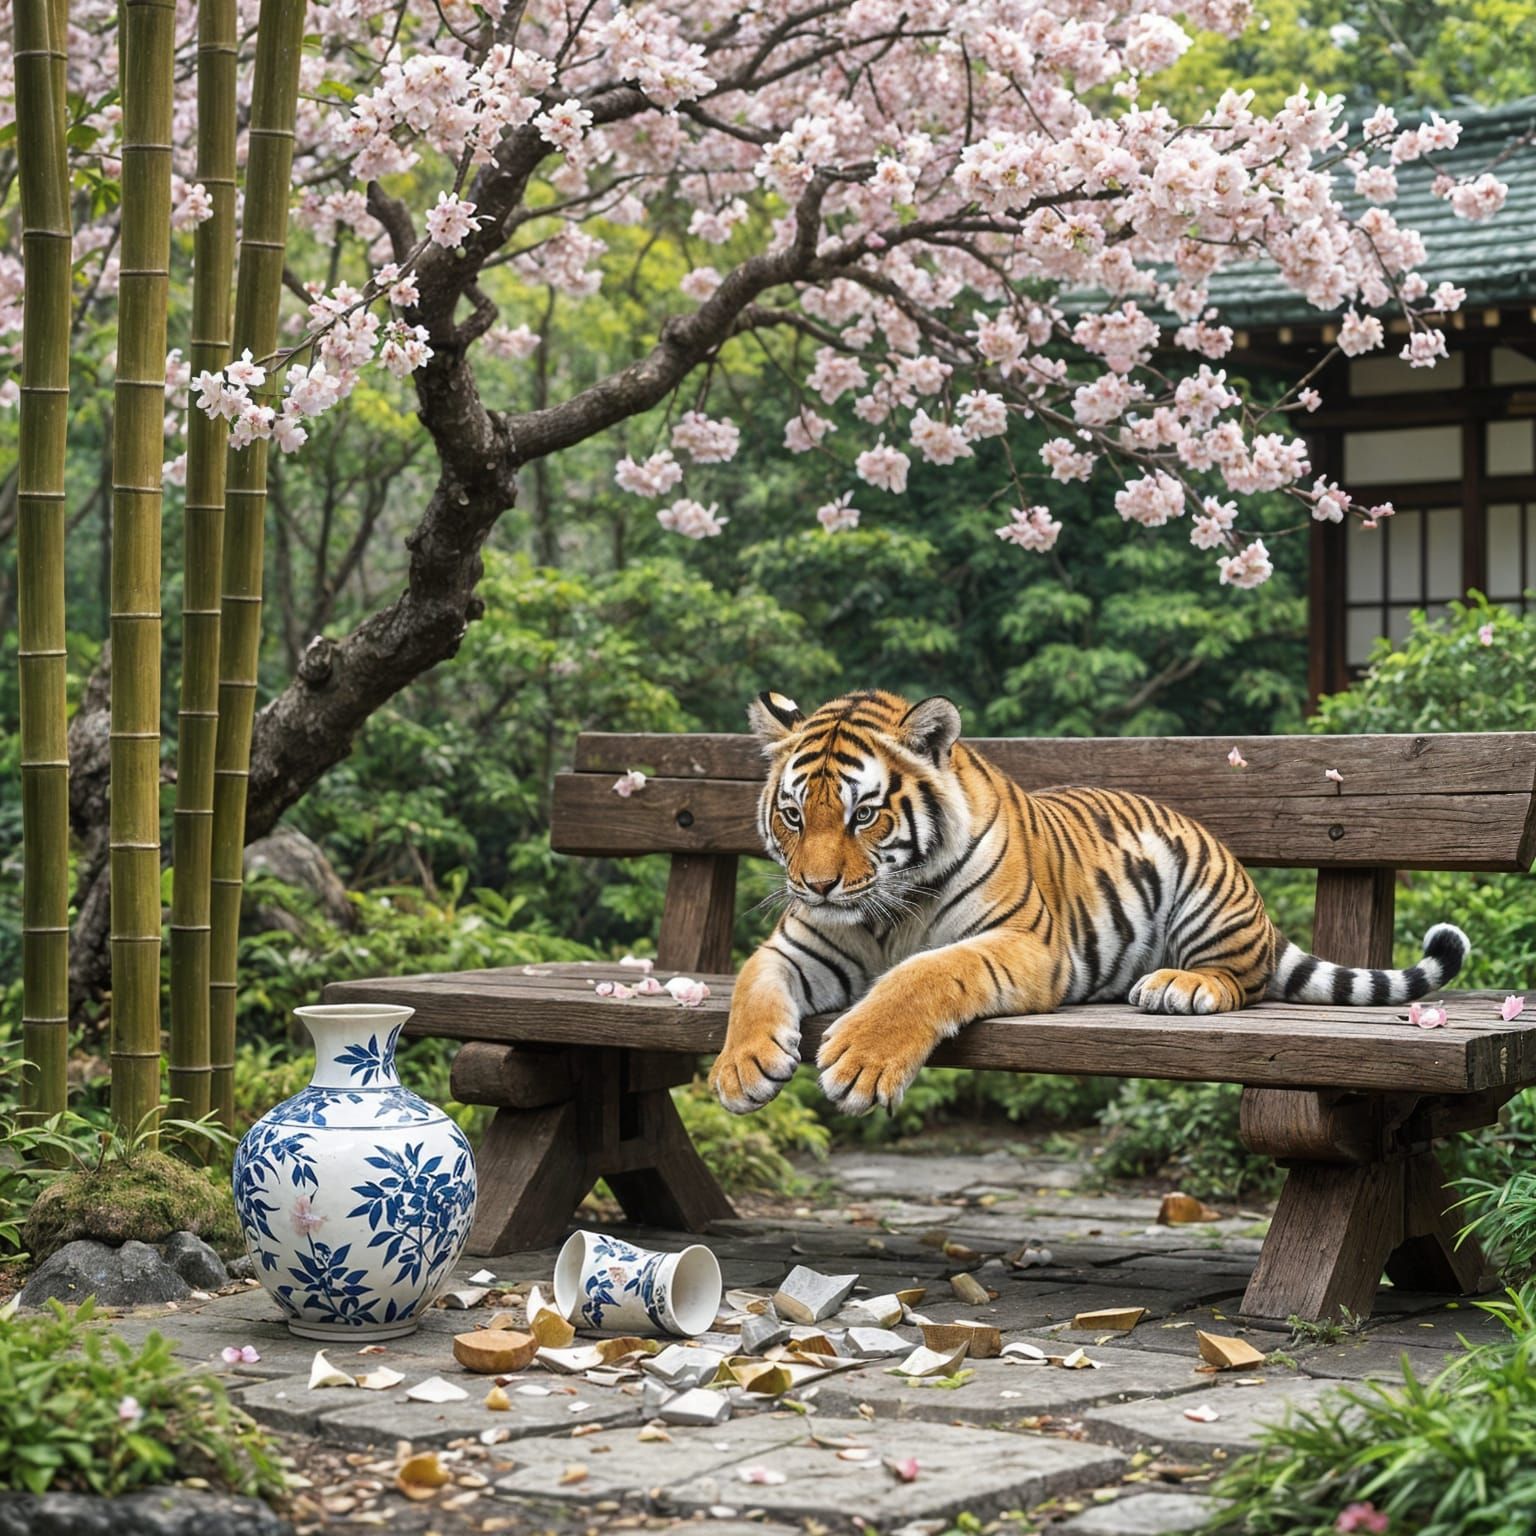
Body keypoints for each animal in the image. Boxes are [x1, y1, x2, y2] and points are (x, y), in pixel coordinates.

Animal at [707, 688, 1470, 1117]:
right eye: (794, 816)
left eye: (863, 815)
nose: (817, 886)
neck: (886, 915)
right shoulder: (797, 946)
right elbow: (751, 983)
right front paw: (741, 1070)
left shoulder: (1023, 943)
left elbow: (925, 973)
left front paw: (861, 1060)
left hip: (1202, 894)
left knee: (1242, 980)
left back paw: (1180, 987)